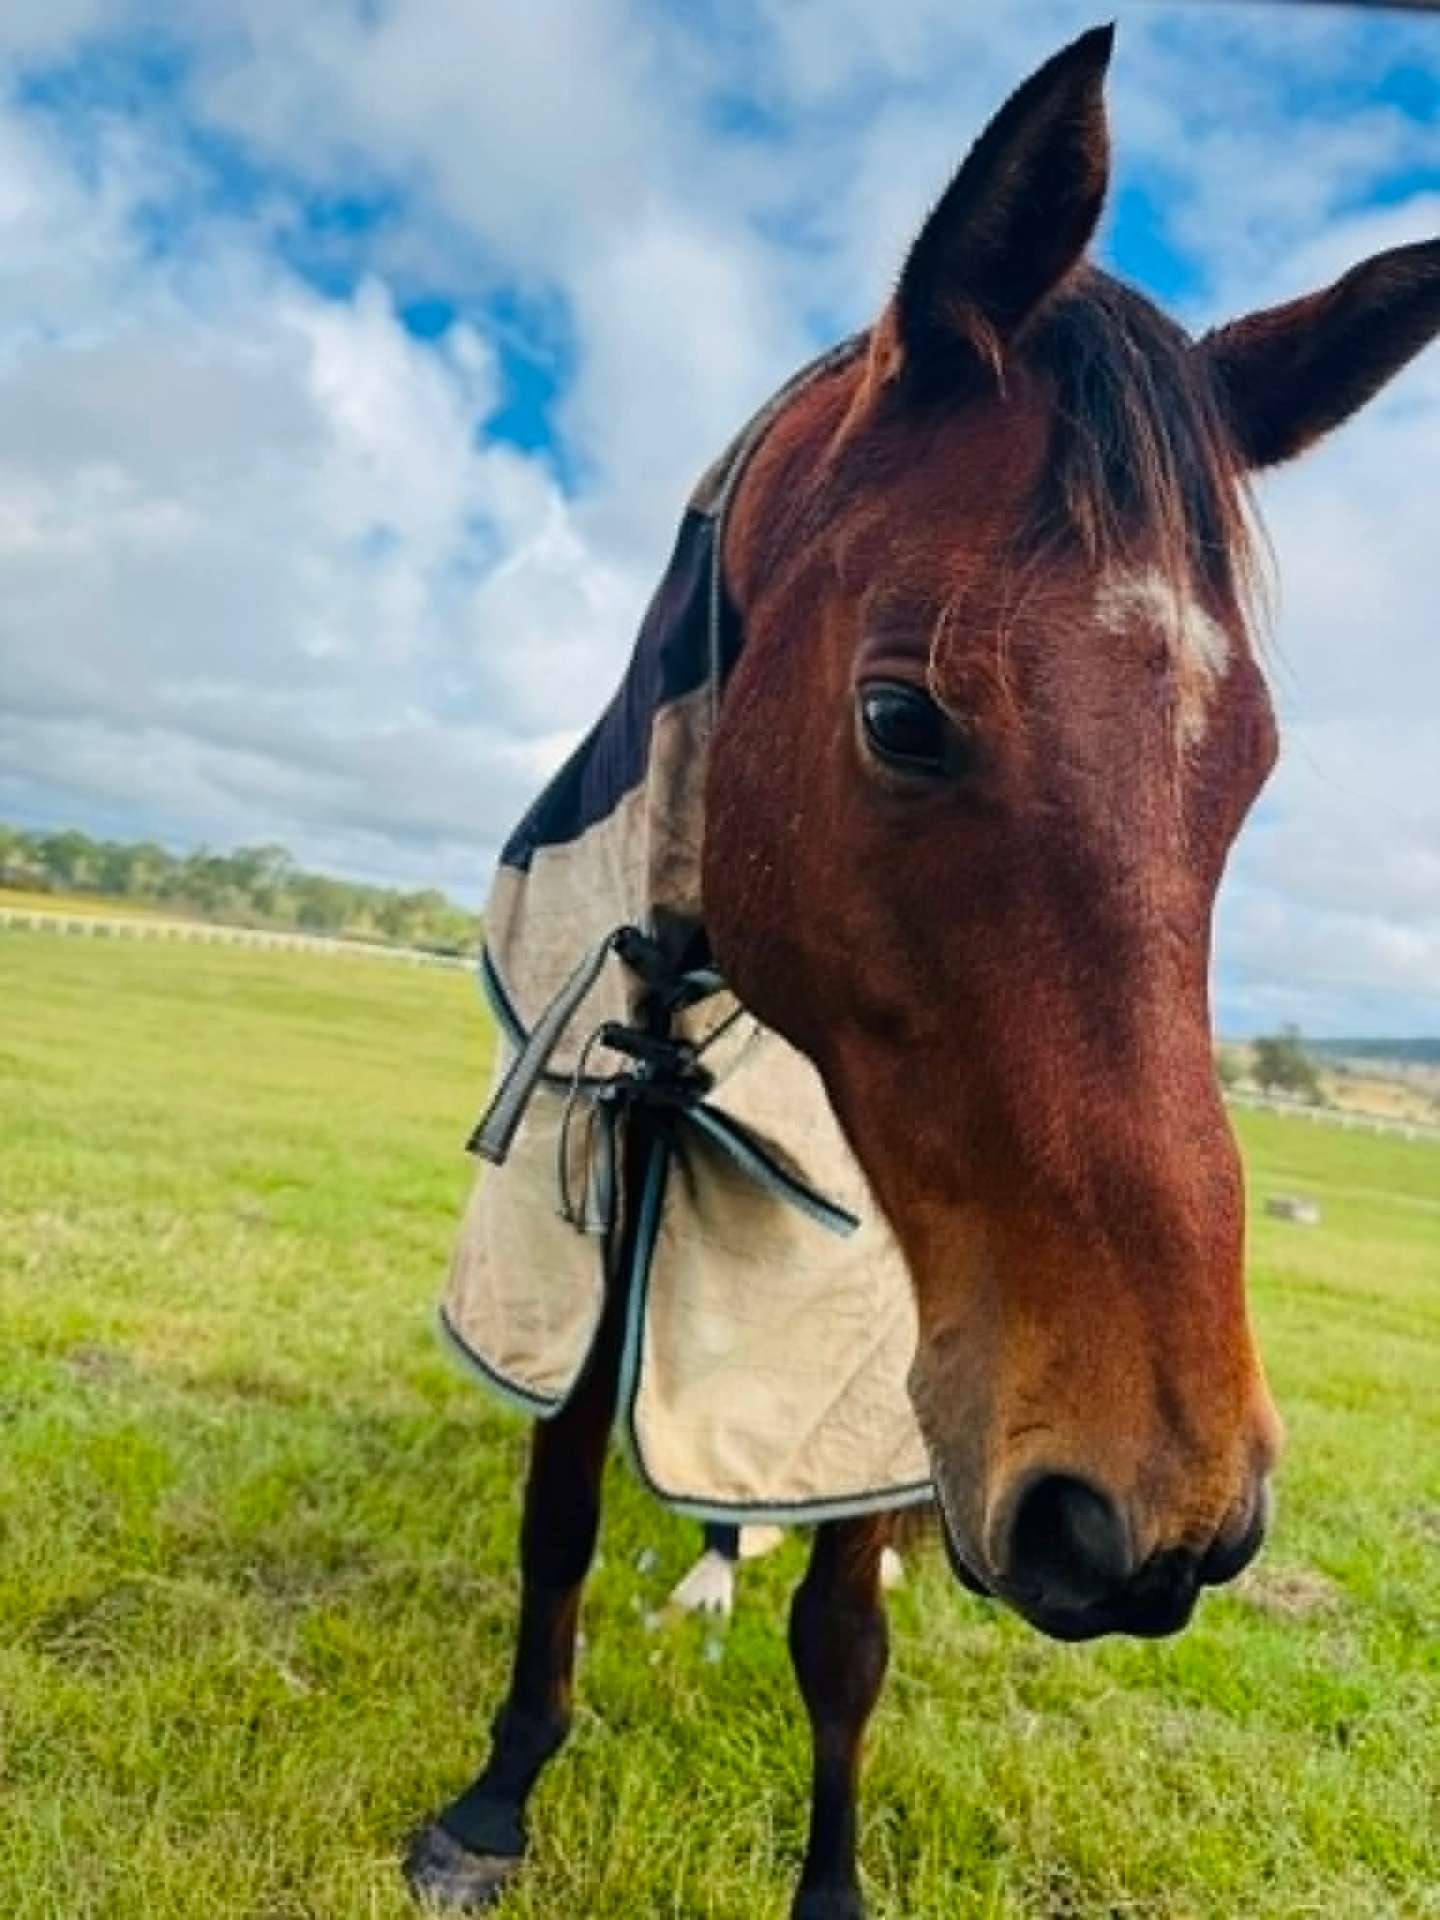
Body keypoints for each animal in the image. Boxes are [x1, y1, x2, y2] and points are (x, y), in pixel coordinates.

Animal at [406, 27, 1440, 1918]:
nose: (1165, 1518)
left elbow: (842, 1643)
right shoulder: (586, 1227)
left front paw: (830, 1880)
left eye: (1247, 765)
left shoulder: (888, 1349)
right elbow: (559, 1517)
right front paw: (500, 1792)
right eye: (901, 715)